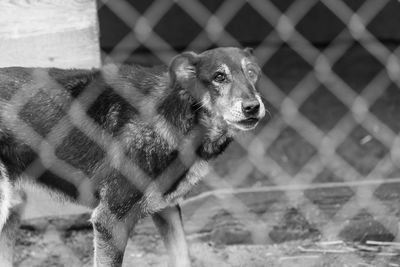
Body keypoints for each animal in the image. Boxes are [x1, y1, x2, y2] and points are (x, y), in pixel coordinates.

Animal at [0, 47, 266, 266]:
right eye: (219, 77)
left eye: (252, 73)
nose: (253, 107)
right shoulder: (109, 221)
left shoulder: (167, 210)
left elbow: (182, 257)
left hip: (12, 210)